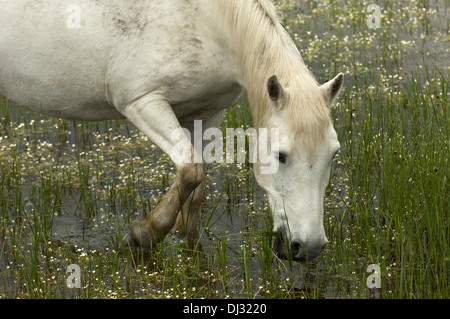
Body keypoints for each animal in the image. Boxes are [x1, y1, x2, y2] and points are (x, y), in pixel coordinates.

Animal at [0, 0, 342, 262]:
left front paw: (182, 235)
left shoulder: (208, 112)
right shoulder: (143, 102)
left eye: (333, 154)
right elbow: (190, 169)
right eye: (280, 155)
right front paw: (144, 235)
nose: (309, 247)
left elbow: (199, 181)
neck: (207, 22)